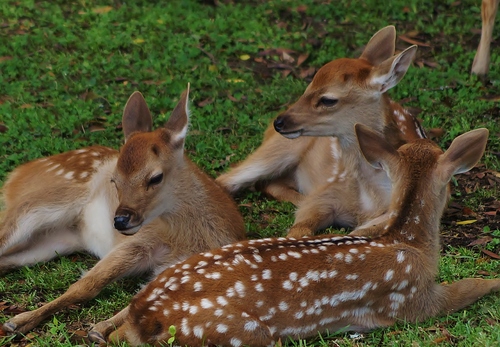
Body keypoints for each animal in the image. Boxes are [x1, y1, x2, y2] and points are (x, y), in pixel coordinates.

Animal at [0, 86, 246, 338]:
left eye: (155, 177)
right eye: (114, 180)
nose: (119, 220)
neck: (185, 240)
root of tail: (16, 175)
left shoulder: (178, 265)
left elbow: (146, 297)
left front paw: (100, 330)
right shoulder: (138, 241)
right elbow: (86, 286)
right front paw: (18, 321)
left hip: (56, 240)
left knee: (8, 260)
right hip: (37, 205)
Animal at [108, 127, 496, 347]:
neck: (406, 240)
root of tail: (147, 314)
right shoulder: (414, 301)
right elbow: (470, 287)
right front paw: (495, 280)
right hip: (240, 333)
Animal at [217, 25, 424, 239]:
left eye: (328, 100)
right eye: (308, 86)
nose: (279, 122)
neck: (369, 198)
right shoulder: (327, 195)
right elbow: (300, 229)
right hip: (278, 150)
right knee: (226, 180)